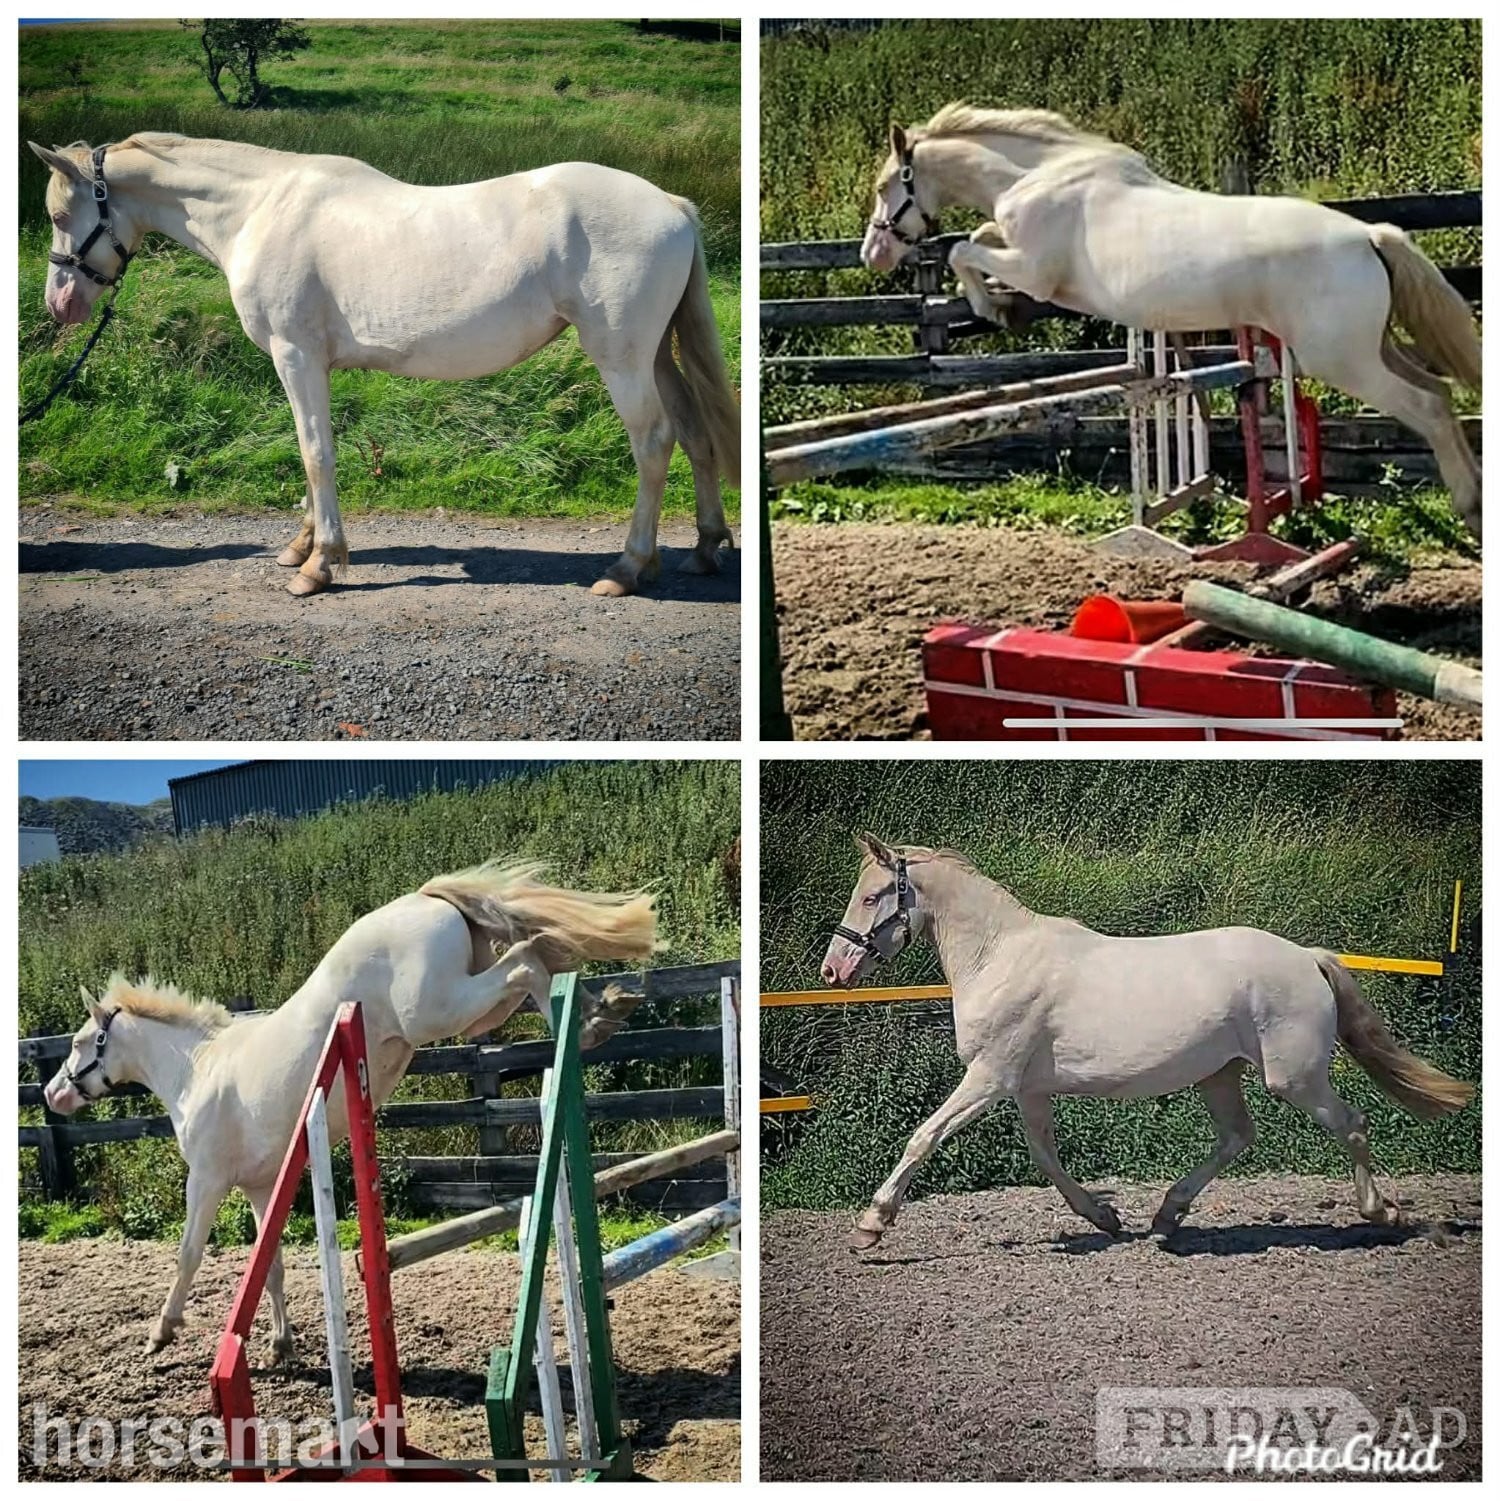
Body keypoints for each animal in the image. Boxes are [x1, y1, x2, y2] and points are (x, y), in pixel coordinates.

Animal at [28, 133, 740, 596]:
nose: (60, 304)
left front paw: (320, 566)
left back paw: (628, 567)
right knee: (695, 435)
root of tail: (672, 205)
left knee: (654, 442)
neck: (259, 209)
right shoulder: (309, 364)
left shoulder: (295, 355)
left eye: (61, 213)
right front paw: (300, 546)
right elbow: (311, 451)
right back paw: (704, 550)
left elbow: (316, 453)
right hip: (657, 354)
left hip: (622, 357)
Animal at [43, 861, 658, 1359]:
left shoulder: (208, 1180)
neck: (197, 1069)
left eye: (79, 1042)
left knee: (526, 961)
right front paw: (280, 1346)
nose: (53, 1095)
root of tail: (424, 898)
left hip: (439, 1010)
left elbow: (189, 1253)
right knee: (536, 963)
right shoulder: (260, 1188)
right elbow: (270, 1265)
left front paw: (160, 1332)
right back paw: (601, 1012)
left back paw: (586, 1025)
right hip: (471, 1010)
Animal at [822, 834, 1473, 1250]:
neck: (999, 957)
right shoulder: (1028, 1088)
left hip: (1294, 1077)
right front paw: (1105, 1218)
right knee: (1239, 1136)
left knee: (1351, 1124)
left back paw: (1382, 1211)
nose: (833, 970)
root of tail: (1308, 957)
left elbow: (923, 1136)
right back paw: (1165, 1218)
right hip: (1220, 1073)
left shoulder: (989, 1077)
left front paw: (871, 1225)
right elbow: (1044, 1156)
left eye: (874, 895)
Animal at [860, 105, 1481, 538]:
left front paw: (994, 308)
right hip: (1373, 349)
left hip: (1342, 360)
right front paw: (994, 304)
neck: (1034, 176)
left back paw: (1467, 507)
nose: (873, 255)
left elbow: (963, 249)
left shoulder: (1036, 273)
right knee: (1440, 394)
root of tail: (1371, 235)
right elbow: (980, 237)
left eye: (885, 186)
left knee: (1426, 407)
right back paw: (1476, 499)